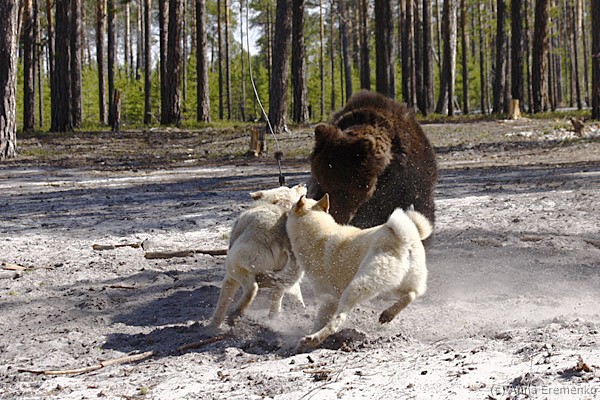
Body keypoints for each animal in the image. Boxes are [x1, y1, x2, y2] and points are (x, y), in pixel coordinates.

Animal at [208, 184, 307, 330]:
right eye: (290, 188)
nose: (302, 185)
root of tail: (281, 235)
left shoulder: (230, 278)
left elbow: (222, 303)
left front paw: (213, 326)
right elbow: (292, 295)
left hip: (234, 263)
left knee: (252, 288)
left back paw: (236, 312)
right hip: (284, 274)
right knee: (276, 295)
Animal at [286, 193, 432, 347]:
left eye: (290, 210)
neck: (317, 233)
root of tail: (403, 238)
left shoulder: (329, 300)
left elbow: (320, 321)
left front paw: (304, 342)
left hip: (357, 286)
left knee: (337, 321)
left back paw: (314, 338)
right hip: (396, 284)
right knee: (412, 294)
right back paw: (389, 314)